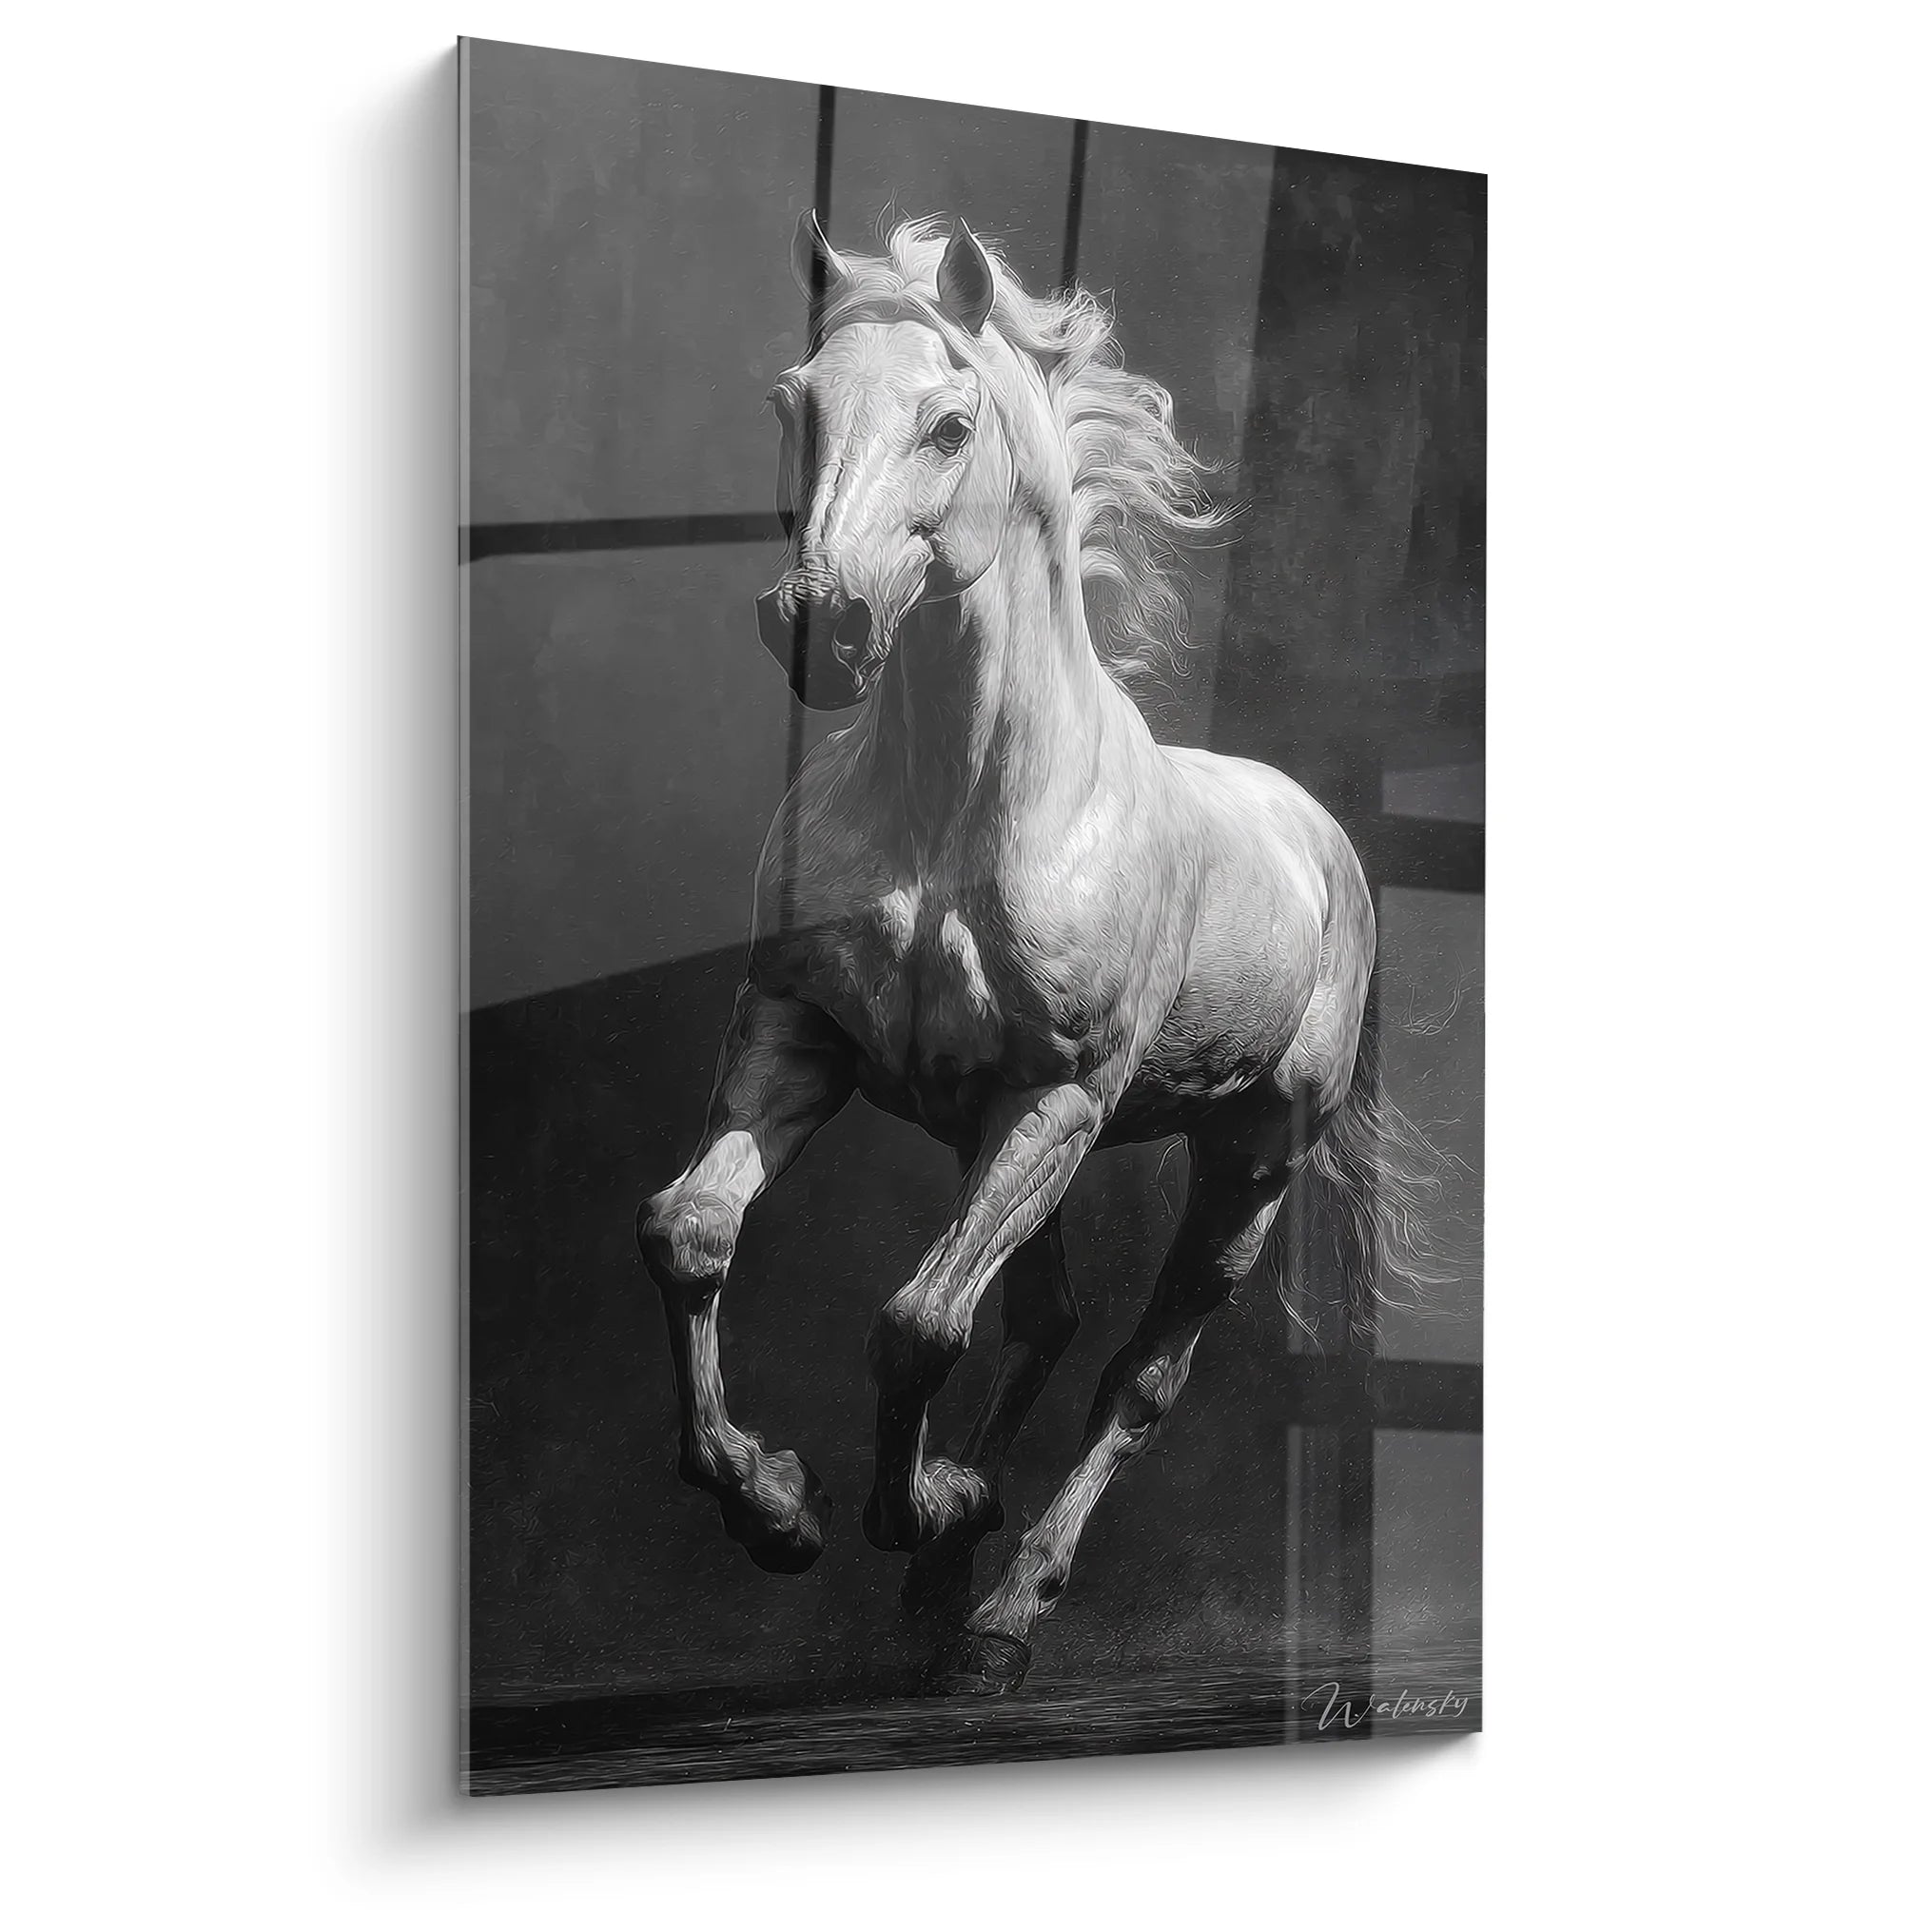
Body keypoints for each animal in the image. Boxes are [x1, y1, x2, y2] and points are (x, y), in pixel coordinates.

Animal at [637, 211, 1437, 1695]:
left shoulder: (1058, 1094)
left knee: (1135, 1375)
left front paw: (915, 1506)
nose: (822, 624)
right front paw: (778, 1508)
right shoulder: (797, 1031)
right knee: (1045, 1318)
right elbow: (693, 1230)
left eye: (950, 423)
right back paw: (950, 1567)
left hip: (1238, 1163)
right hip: (998, 1136)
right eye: (792, 403)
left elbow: (915, 1324)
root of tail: (1322, 838)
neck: (958, 804)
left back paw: (1004, 1606)